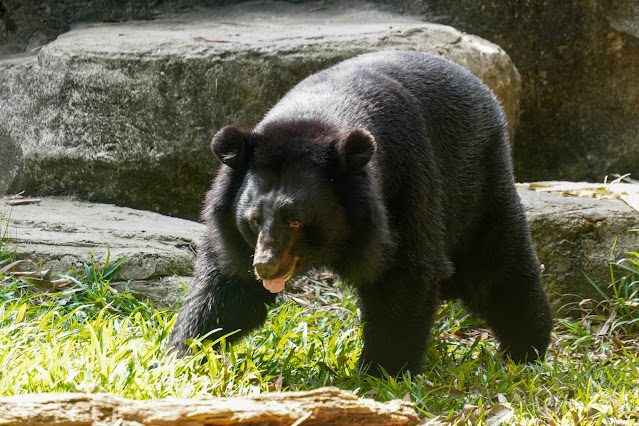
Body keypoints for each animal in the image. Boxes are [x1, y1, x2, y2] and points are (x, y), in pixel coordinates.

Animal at [170, 50, 556, 376]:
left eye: (296, 220)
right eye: (253, 220)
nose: (266, 266)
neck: (316, 118)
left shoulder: (404, 185)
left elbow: (402, 273)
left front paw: (382, 373)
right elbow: (228, 286)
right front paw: (182, 355)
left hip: (478, 179)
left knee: (496, 264)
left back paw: (526, 348)